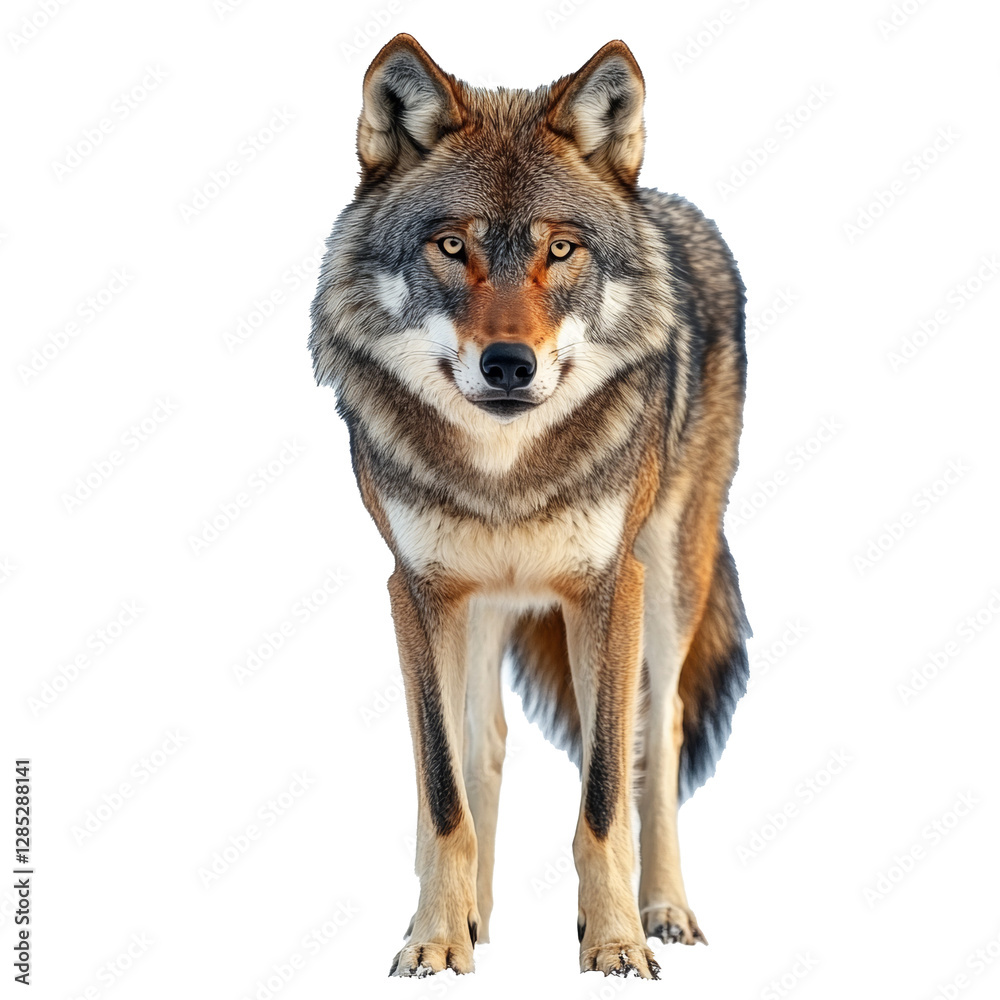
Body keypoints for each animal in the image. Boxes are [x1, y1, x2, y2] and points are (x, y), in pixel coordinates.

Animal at [310, 34, 751, 979]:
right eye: (451, 245)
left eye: (560, 249)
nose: (509, 364)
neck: (505, 474)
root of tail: (667, 204)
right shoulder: (418, 591)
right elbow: (443, 790)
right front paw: (436, 939)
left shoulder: (607, 589)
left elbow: (604, 794)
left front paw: (617, 944)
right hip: (482, 607)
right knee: (485, 746)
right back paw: (470, 920)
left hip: (671, 580)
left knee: (658, 735)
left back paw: (666, 910)